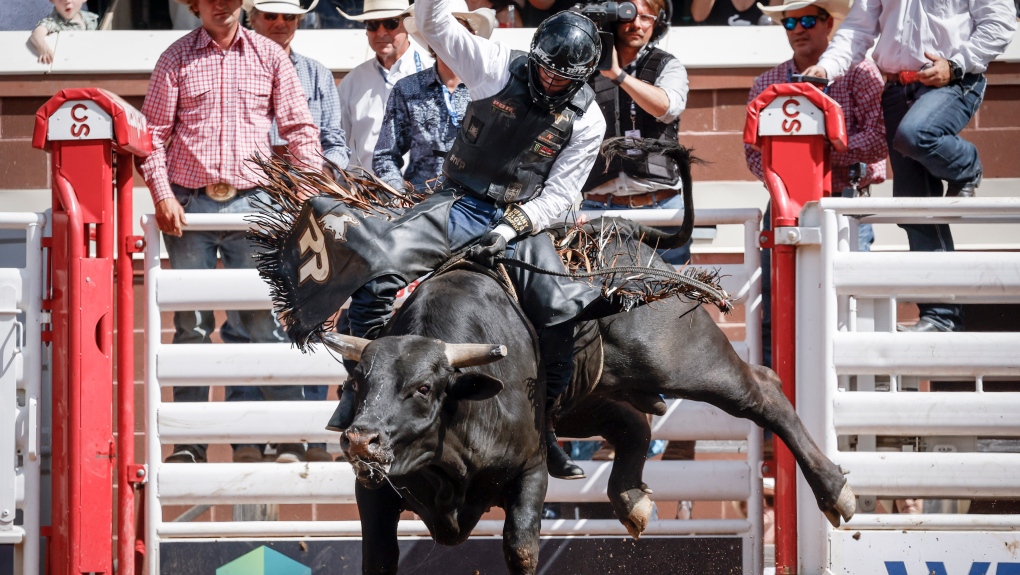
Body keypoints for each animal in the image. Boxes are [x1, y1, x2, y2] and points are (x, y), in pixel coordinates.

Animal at [322, 221, 856, 575]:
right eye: (356, 384)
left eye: (423, 388)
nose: (361, 441)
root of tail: (636, 253)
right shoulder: (373, 493)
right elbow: (378, 557)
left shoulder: (530, 474)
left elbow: (521, 549)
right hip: (585, 398)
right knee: (633, 424)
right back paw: (631, 501)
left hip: (684, 360)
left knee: (763, 390)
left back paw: (836, 491)